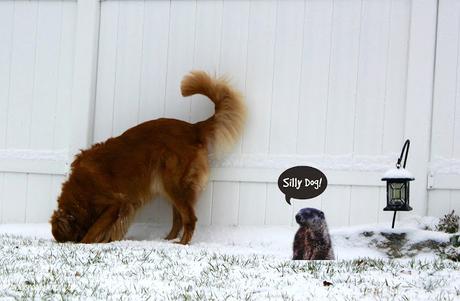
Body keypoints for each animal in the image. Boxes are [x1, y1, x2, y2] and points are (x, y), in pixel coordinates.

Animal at [50, 71, 246, 244]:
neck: (81, 187)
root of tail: (193, 128)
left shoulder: (115, 203)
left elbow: (95, 228)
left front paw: (86, 242)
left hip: (174, 183)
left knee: (189, 218)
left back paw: (182, 243)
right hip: (170, 186)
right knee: (178, 219)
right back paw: (167, 240)